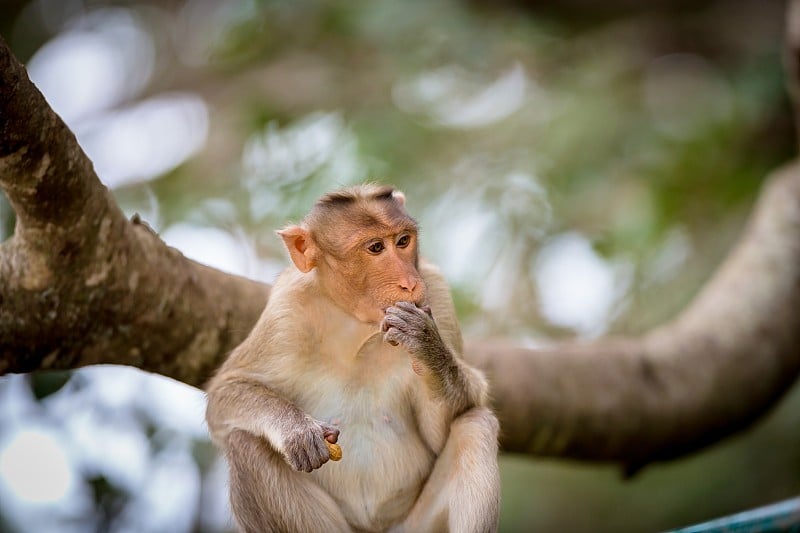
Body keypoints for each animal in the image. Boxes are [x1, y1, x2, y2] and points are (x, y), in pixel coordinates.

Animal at [203, 184, 496, 532]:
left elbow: (441, 431)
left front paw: (426, 344)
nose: (410, 283)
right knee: (244, 445)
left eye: (403, 241)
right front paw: (296, 430)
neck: (357, 328)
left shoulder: (436, 291)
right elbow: (226, 392)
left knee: (475, 426)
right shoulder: (286, 310)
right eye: (375, 248)